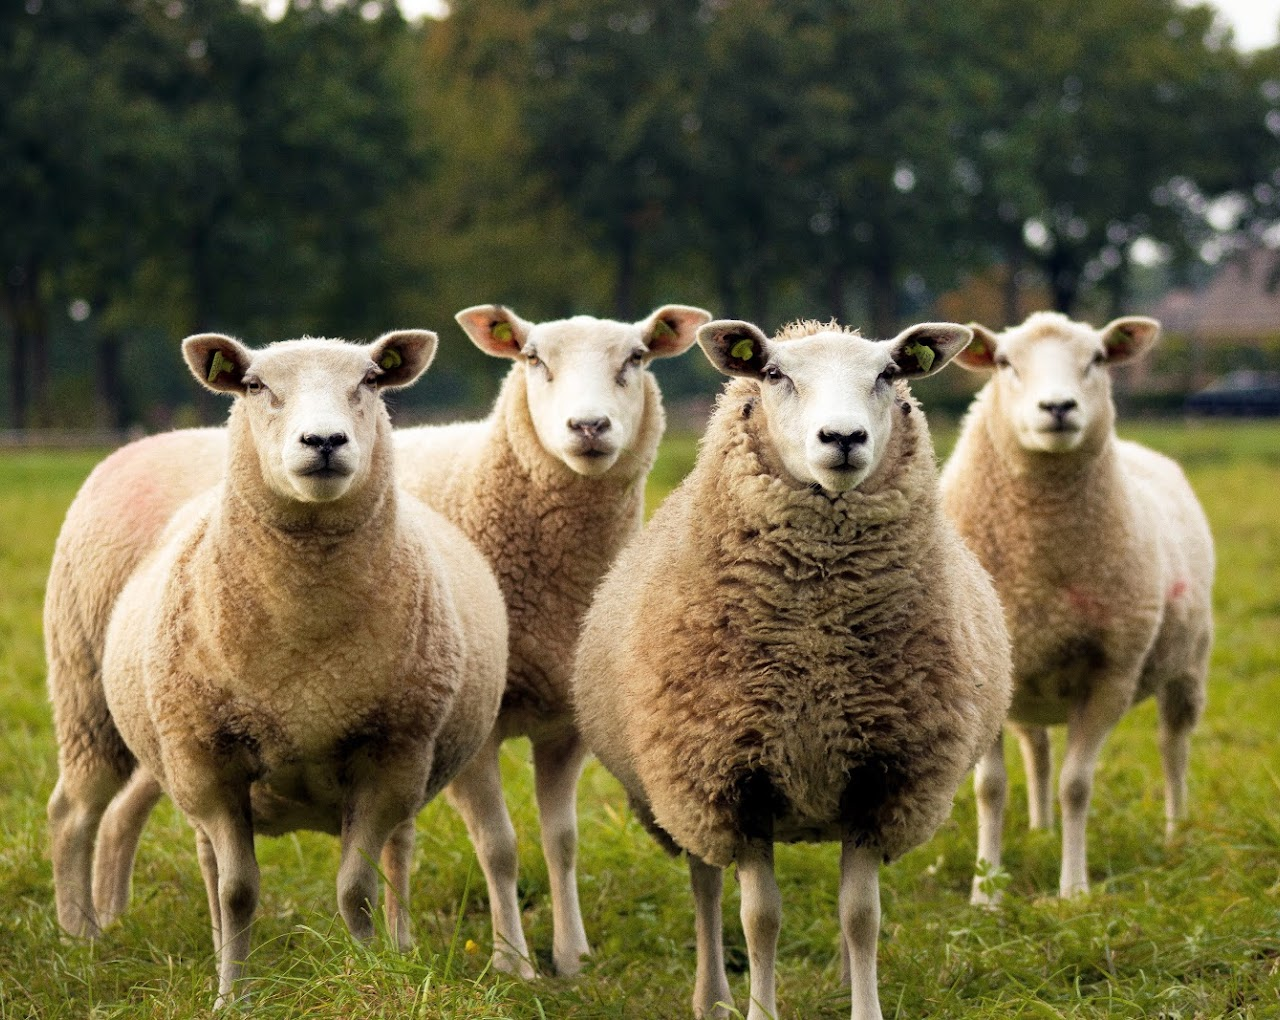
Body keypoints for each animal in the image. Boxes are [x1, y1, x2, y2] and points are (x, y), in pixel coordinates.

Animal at [49, 330, 508, 1004]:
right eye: (255, 385)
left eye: (371, 380)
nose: (323, 442)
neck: (305, 648)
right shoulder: (208, 759)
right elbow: (238, 891)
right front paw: (230, 997)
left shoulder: (391, 755)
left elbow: (356, 889)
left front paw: (370, 975)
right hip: (88, 699)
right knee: (76, 813)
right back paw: (79, 939)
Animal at [392, 303, 710, 977]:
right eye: (534, 358)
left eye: (637, 357)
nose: (588, 426)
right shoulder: (477, 726)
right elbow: (499, 846)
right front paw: (513, 962)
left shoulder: (567, 723)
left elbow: (561, 841)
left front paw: (571, 957)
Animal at [571, 317, 1013, 1020]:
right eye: (775, 374)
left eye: (890, 374)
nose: (843, 438)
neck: (816, 645)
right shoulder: (733, 778)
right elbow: (759, 920)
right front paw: (759, 1009)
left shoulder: (879, 776)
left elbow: (861, 916)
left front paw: (865, 1007)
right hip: (684, 795)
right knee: (705, 887)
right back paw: (713, 998)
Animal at [940, 311, 1215, 903]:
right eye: (1004, 362)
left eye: (1097, 358)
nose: (1058, 408)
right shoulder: (982, 678)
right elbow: (991, 788)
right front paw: (986, 893)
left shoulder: (1112, 673)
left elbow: (1077, 786)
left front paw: (1074, 890)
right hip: (1027, 683)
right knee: (1038, 748)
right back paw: (1040, 830)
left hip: (1188, 663)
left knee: (1173, 745)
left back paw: (1177, 830)